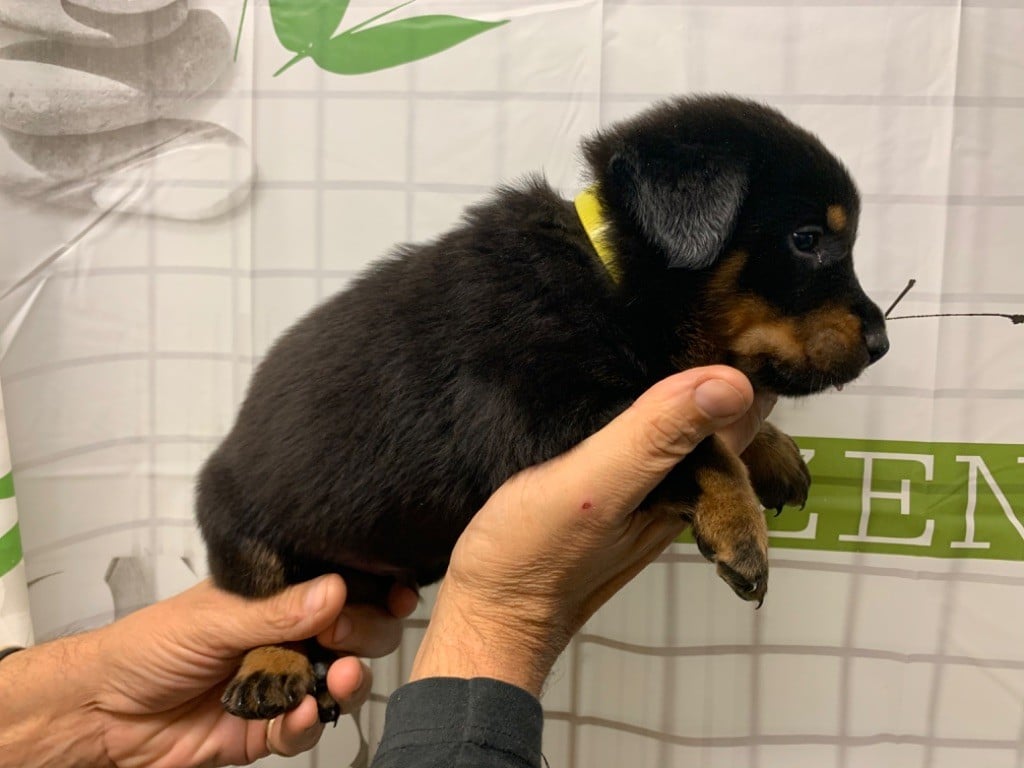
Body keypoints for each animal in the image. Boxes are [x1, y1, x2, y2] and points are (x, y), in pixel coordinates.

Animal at [195, 95, 889, 722]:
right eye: (806, 239)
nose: (882, 343)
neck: (615, 282)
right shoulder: (549, 409)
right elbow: (702, 446)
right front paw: (741, 527)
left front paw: (775, 451)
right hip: (239, 526)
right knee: (268, 601)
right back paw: (272, 666)